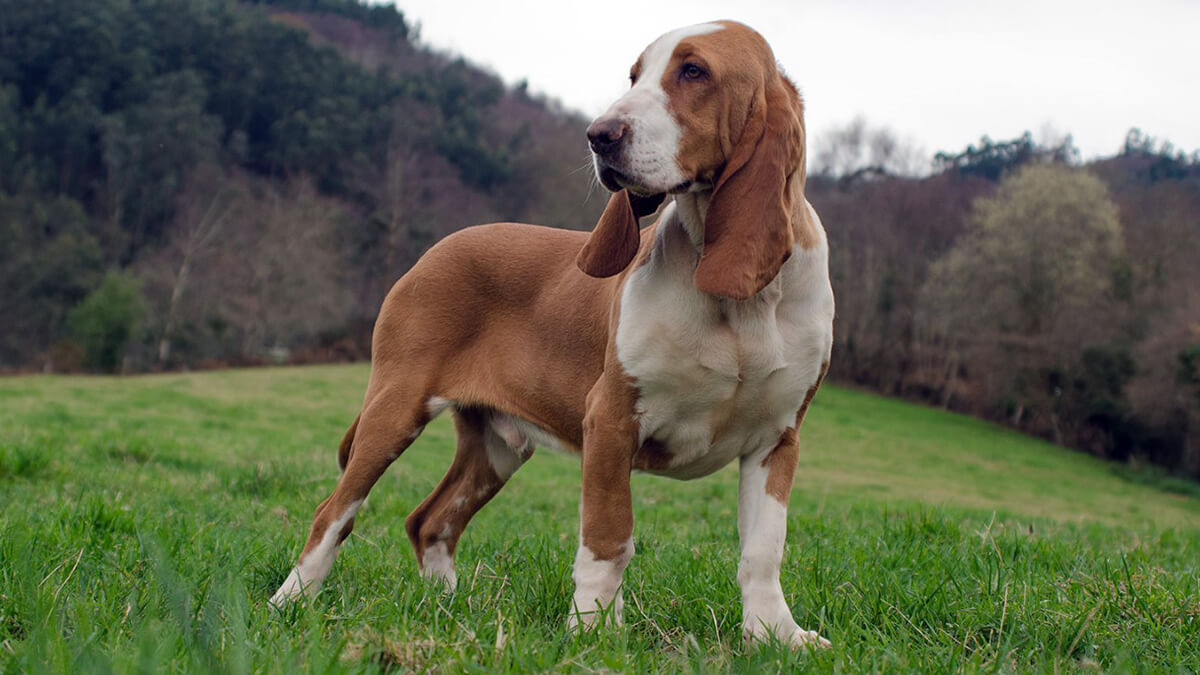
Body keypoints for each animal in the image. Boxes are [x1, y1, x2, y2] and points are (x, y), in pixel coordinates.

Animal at [272, 18, 835, 643]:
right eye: (634, 75)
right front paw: (593, 631)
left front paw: (776, 637)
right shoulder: (612, 419)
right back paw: (289, 603)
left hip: (497, 446)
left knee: (431, 521)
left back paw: (449, 606)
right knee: (335, 512)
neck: (737, 305)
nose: (599, 135)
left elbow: (763, 552)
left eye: (694, 71)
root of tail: (433, 252)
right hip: (395, 409)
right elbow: (609, 538)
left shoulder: (776, 439)